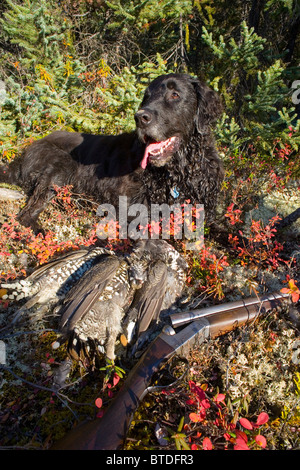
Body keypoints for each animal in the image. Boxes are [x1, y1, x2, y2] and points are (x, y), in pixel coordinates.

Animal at [0, 73, 224, 233]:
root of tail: (23, 154)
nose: (140, 117)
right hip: (61, 164)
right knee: (26, 214)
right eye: (147, 97)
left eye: (175, 95)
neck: (179, 170)